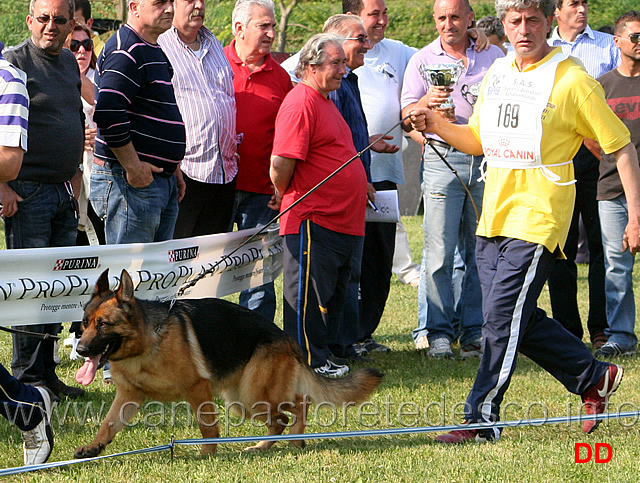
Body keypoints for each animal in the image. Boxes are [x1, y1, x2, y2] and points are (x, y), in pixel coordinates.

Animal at [75, 270, 384, 460]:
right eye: (84, 323)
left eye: (103, 325)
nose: (80, 350)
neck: (147, 342)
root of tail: (287, 338)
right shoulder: (129, 396)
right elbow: (108, 424)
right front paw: (93, 448)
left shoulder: (198, 389)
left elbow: (207, 427)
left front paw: (206, 455)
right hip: (242, 400)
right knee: (287, 413)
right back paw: (265, 446)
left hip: (252, 396)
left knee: (298, 405)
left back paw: (294, 440)